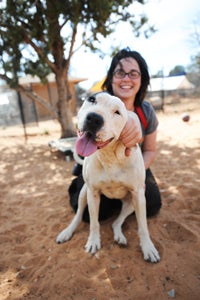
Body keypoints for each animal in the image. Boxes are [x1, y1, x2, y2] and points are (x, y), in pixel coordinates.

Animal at [57, 91, 160, 262]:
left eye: (117, 112)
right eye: (92, 99)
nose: (94, 118)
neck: (110, 156)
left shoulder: (138, 194)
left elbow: (143, 226)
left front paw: (148, 247)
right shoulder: (92, 194)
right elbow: (94, 223)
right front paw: (93, 241)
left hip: (132, 202)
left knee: (116, 222)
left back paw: (119, 236)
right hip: (84, 193)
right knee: (79, 215)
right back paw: (67, 232)